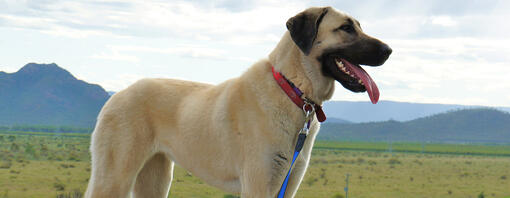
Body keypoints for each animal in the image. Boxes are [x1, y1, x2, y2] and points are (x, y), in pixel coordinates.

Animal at [85, 6, 392, 198]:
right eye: (345, 28)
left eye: (359, 26)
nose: (389, 50)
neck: (292, 88)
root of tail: (118, 94)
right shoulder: (258, 186)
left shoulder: (287, 184)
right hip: (114, 177)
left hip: (155, 178)